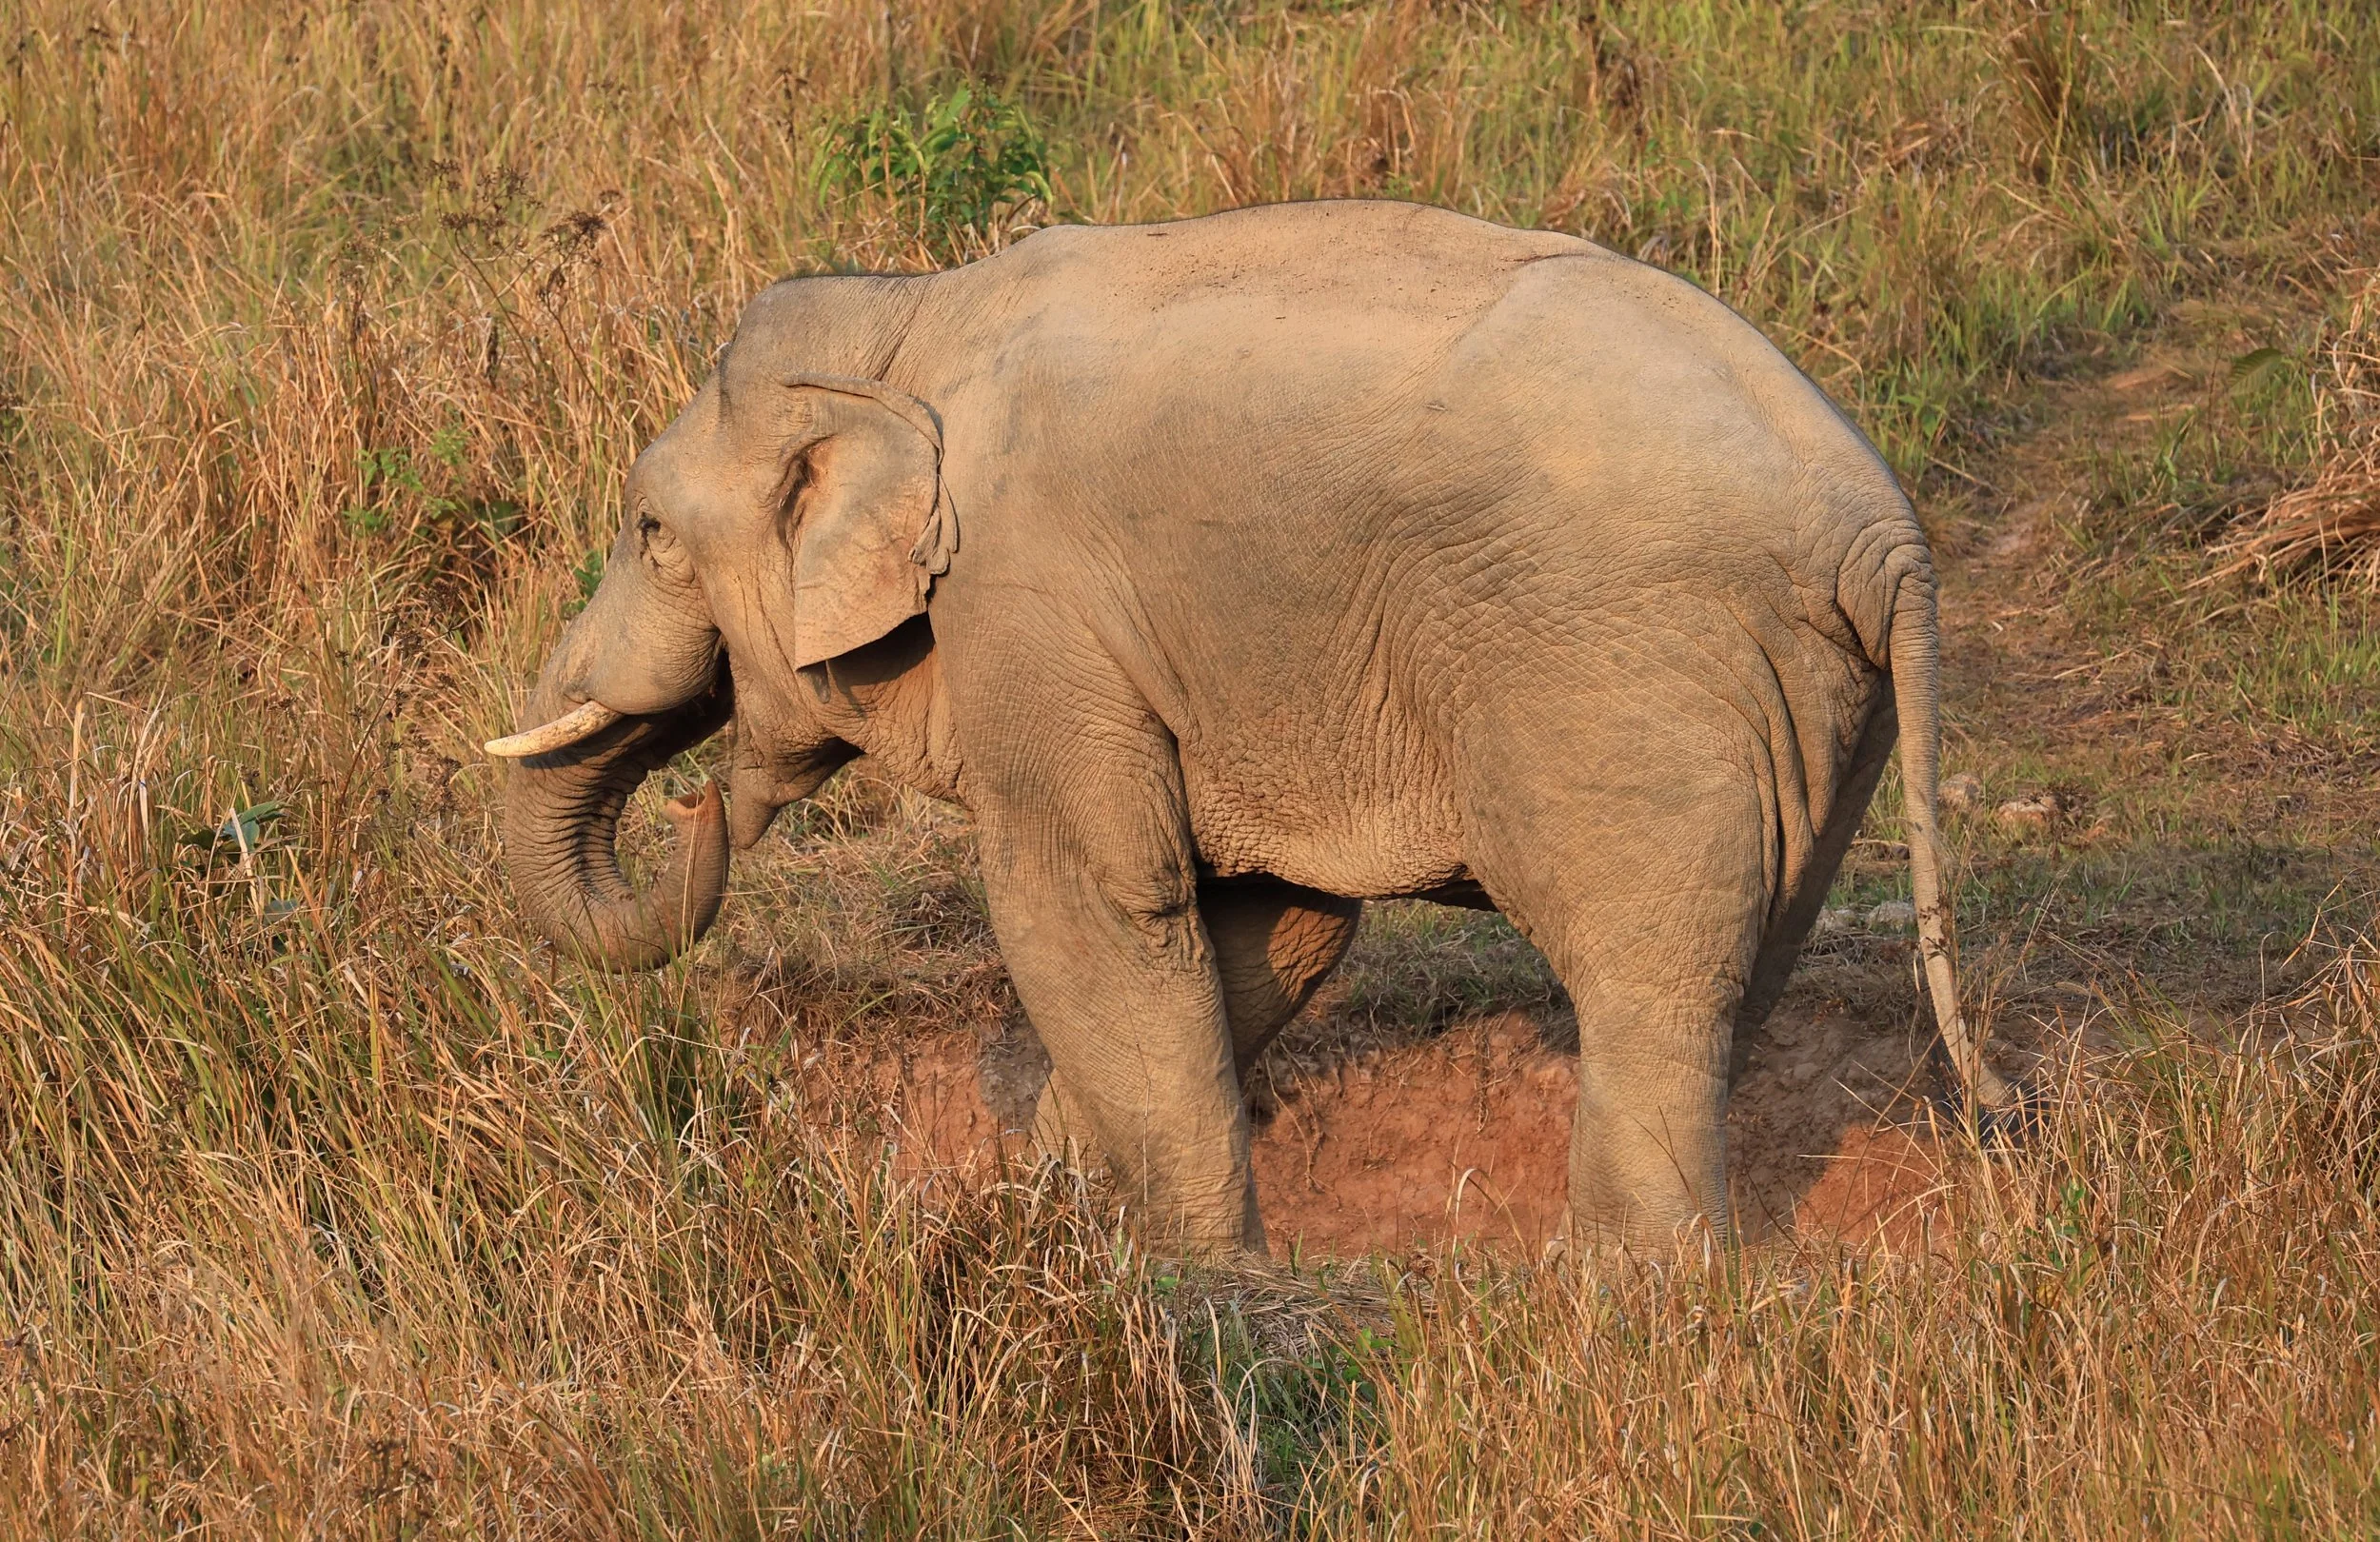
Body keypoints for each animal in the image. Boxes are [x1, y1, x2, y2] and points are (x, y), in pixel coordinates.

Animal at [488, 199, 2009, 1255]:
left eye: (649, 533)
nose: (703, 806)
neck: (905, 322)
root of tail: (1882, 532)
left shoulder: (1026, 609)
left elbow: (1091, 904)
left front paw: (1197, 1267)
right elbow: (1268, 927)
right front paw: (1054, 1210)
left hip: (1625, 677)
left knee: (1652, 986)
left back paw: (1628, 1290)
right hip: (1814, 704)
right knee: (1747, 958)